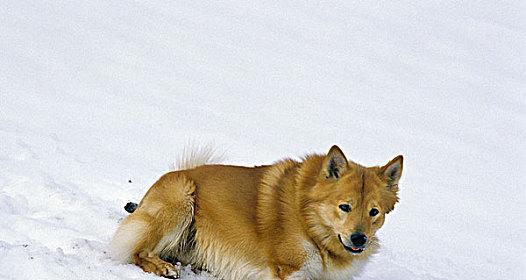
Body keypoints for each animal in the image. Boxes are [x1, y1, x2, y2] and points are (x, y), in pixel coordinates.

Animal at [111, 145, 404, 278]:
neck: (310, 222)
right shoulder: (289, 269)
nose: (359, 239)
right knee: (138, 253)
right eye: (345, 207)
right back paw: (163, 267)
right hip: (181, 200)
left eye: (374, 212)